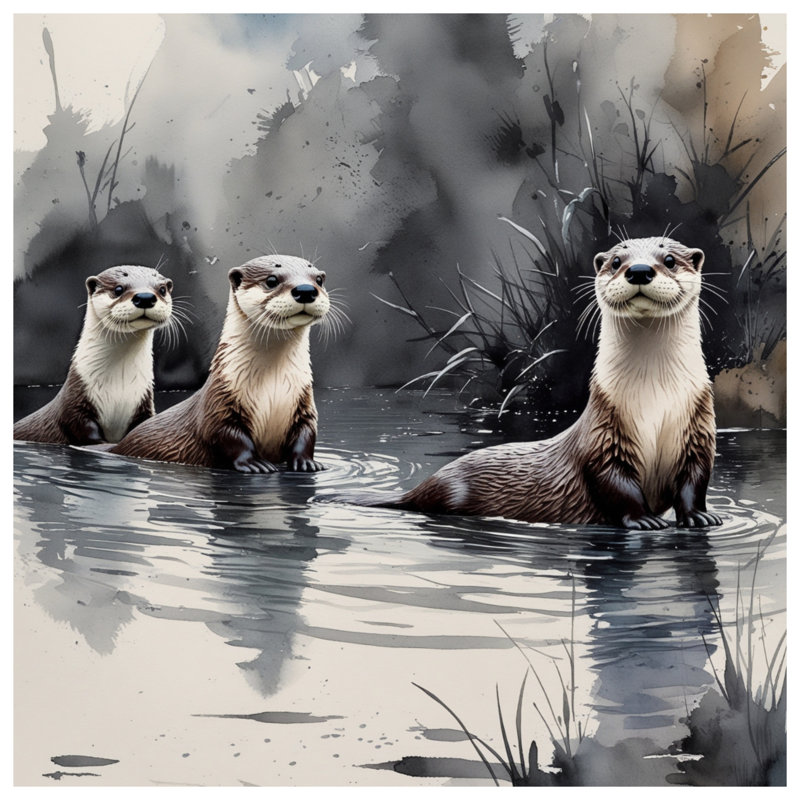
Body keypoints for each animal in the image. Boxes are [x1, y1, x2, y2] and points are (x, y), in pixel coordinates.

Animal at [14, 265, 174, 445]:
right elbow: (83, 428)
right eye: (118, 289)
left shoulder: (143, 403)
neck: (119, 388)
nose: (145, 297)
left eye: (162, 290)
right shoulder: (75, 402)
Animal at [111, 255, 330, 473]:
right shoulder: (219, 403)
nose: (306, 290)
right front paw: (255, 463)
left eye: (319, 280)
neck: (273, 389)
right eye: (271, 280)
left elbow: (306, 433)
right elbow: (229, 436)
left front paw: (307, 462)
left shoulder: (304, 404)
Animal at [356, 236, 722, 530]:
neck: (655, 400)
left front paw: (700, 516)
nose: (640, 270)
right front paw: (644, 519)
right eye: (617, 262)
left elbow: (695, 480)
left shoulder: (698, 433)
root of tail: (424, 484)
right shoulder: (603, 439)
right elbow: (616, 486)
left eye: (670, 260)